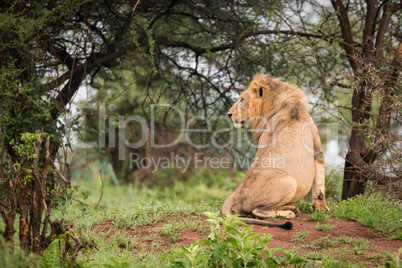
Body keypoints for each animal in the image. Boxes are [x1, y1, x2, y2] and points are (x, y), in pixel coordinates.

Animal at [223, 74, 330, 230]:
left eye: (241, 99)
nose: (229, 114)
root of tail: (236, 193)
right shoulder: (317, 149)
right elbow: (320, 187)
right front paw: (321, 208)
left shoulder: (264, 140)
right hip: (290, 182)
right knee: (258, 211)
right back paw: (288, 213)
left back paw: (291, 208)